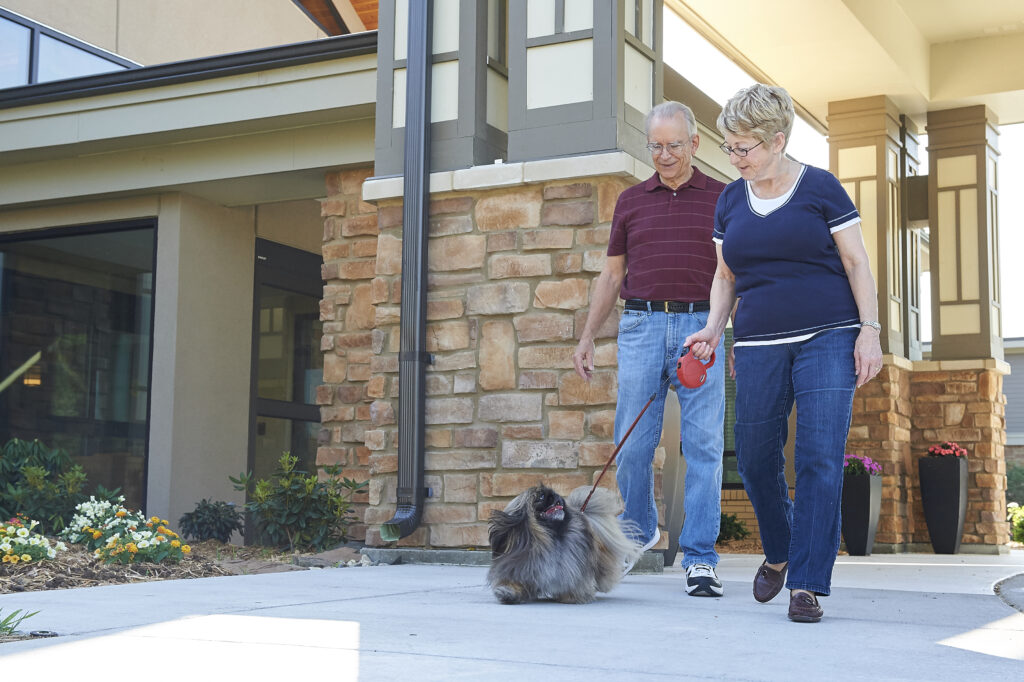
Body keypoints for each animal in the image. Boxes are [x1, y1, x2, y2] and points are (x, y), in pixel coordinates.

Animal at [485, 481, 638, 602]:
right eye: (541, 497)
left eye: (554, 494)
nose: (556, 496)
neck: (551, 538)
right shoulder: (518, 567)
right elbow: (513, 583)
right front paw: (507, 593)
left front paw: (571, 596)